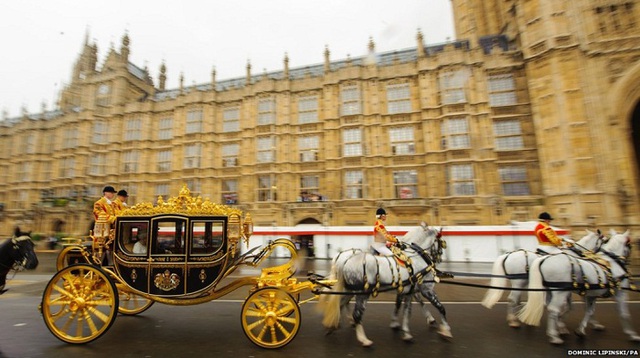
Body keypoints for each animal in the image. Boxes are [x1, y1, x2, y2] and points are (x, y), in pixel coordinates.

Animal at [318, 224, 448, 346]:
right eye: (442, 243)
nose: (439, 259)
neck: (414, 257)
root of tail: (342, 259)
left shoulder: (407, 289)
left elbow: (404, 308)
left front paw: (400, 326)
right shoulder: (424, 288)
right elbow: (435, 306)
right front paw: (442, 328)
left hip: (348, 290)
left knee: (341, 303)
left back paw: (335, 325)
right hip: (361, 293)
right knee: (355, 312)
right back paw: (363, 338)